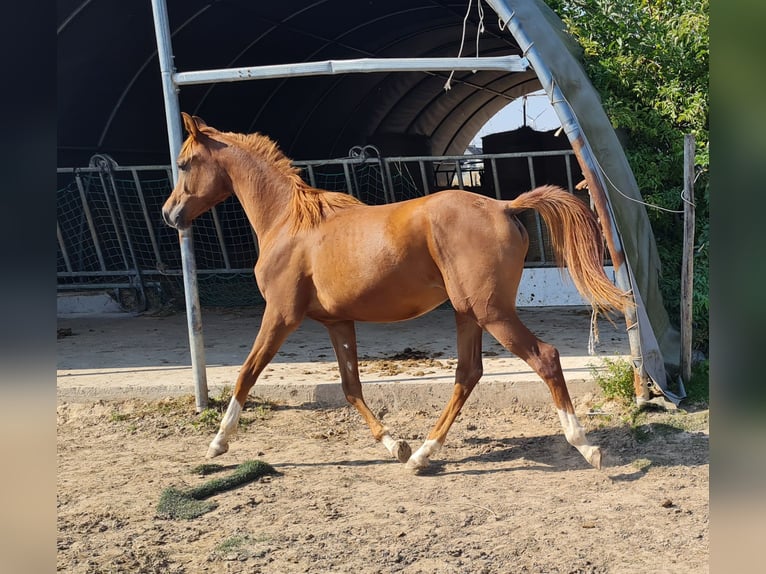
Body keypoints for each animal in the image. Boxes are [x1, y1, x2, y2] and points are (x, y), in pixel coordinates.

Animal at [162, 113, 632, 472]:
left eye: (184, 164)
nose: (169, 214)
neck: (289, 223)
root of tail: (504, 205)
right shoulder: (337, 322)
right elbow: (351, 387)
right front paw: (394, 445)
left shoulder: (280, 314)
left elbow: (246, 373)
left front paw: (218, 443)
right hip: (468, 313)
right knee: (467, 374)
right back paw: (422, 454)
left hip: (491, 313)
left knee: (544, 358)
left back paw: (585, 446)